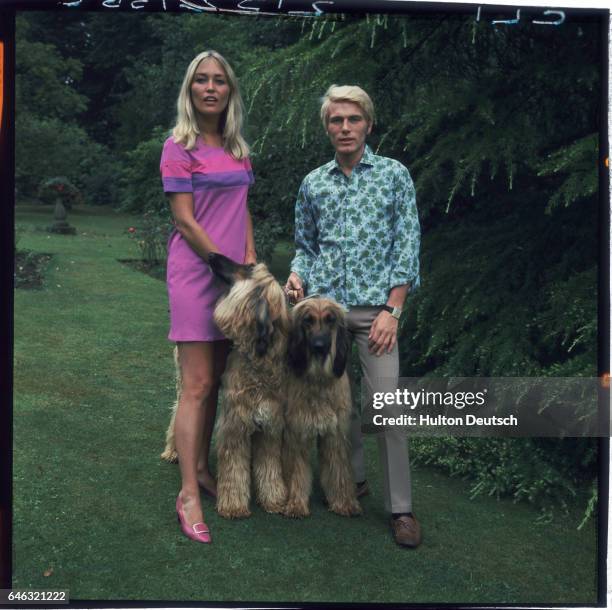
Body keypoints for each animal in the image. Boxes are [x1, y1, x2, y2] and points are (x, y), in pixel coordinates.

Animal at [160, 249, 290, 516]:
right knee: (178, 412)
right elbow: (234, 469)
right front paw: (233, 505)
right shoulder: (236, 424)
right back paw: (173, 450)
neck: (259, 360)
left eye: (248, 267)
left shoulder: (270, 424)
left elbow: (270, 466)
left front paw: (274, 499)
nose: (211, 254)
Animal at [284, 296, 364, 516]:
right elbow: (298, 469)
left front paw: (343, 502)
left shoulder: (335, 433)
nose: (319, 346)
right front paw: (296, 503)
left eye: (330, 320)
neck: (318, 378)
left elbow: (338, 468)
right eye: (308, 320)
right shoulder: (298, 430)